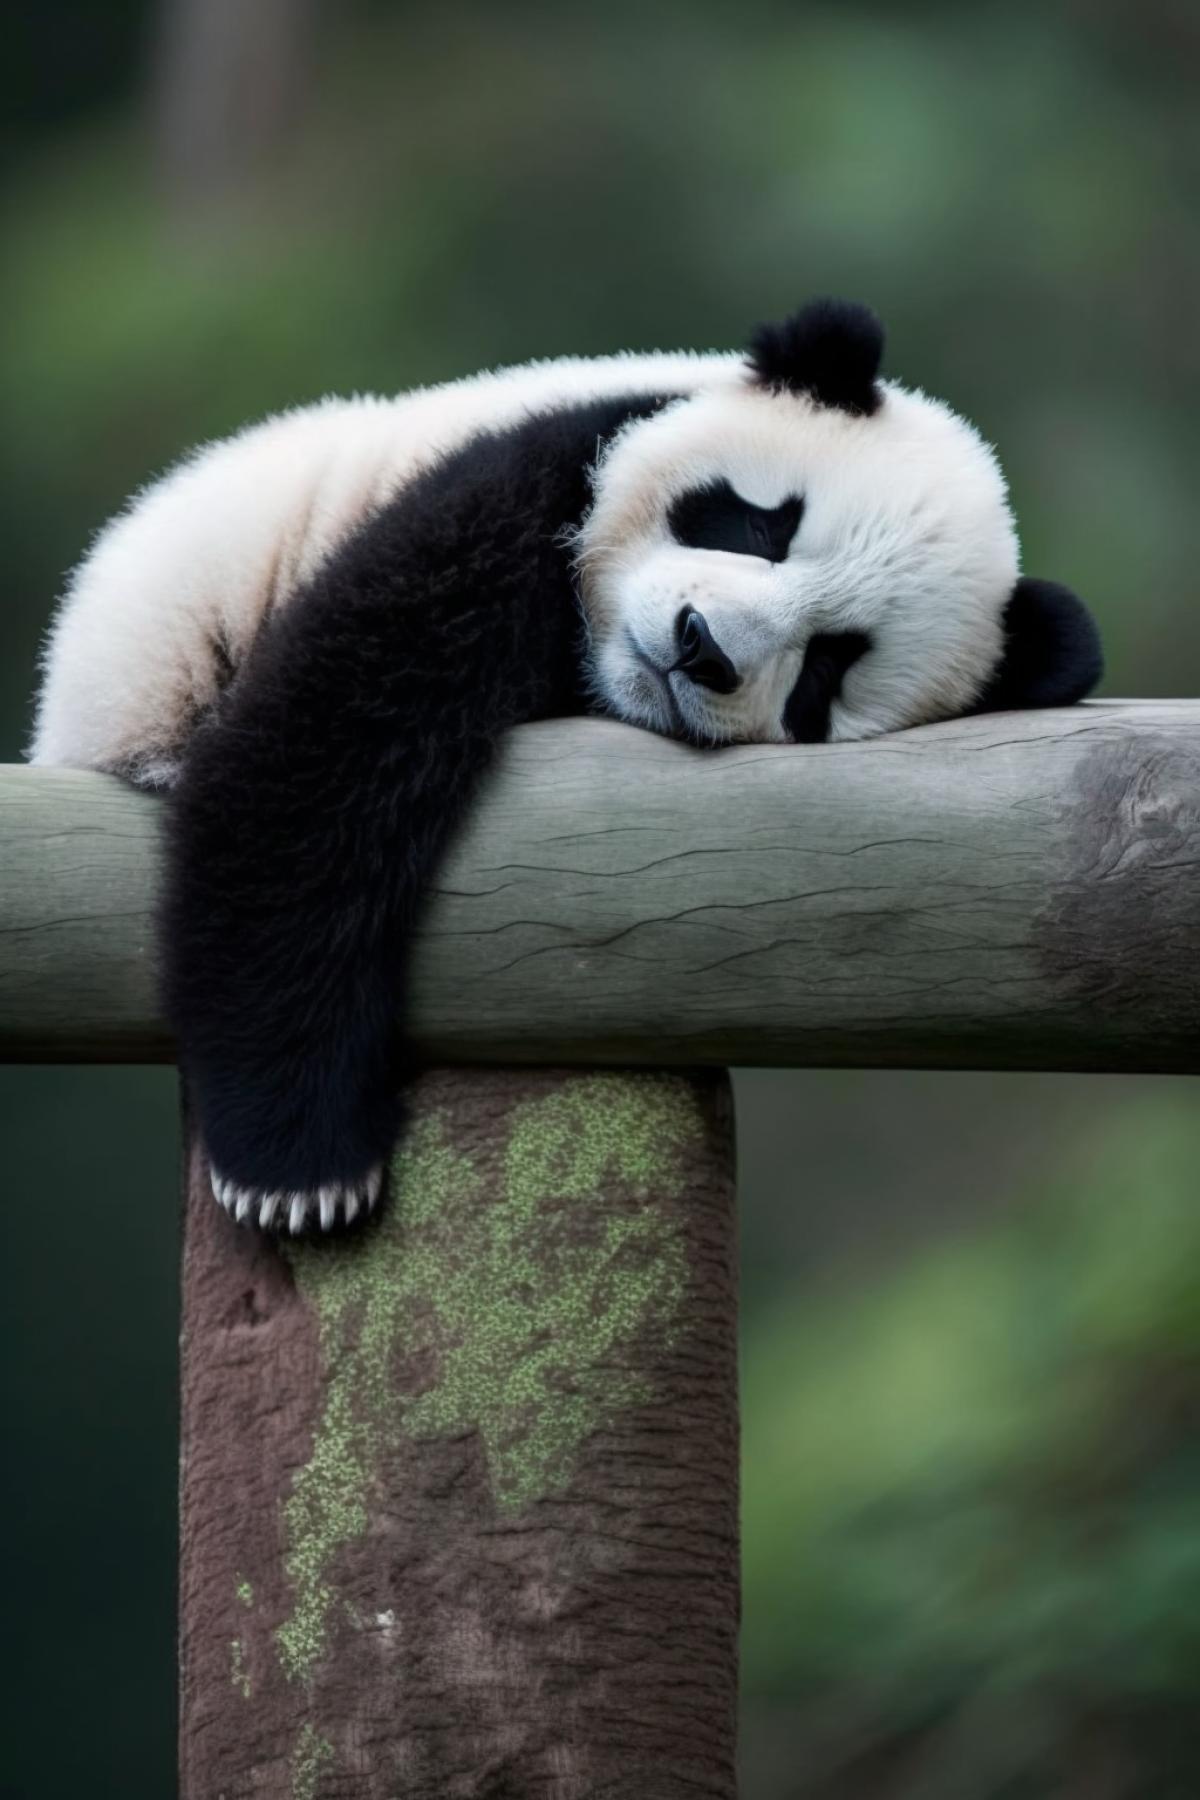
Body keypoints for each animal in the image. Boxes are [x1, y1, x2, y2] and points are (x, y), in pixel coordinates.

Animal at [29, 298, 1102, 1234]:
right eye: (763, 526)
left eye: (829, 667)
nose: (700, 647)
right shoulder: (534, 480)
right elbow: (323, 740)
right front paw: (300, 1172)